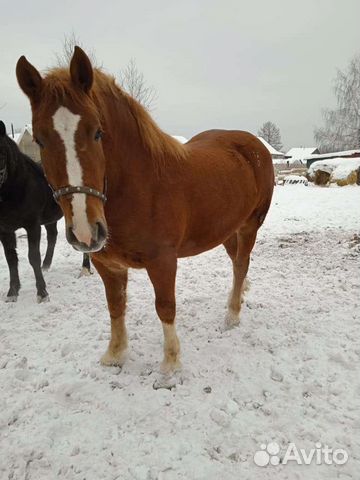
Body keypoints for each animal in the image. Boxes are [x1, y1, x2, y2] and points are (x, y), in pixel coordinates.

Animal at [0, 120, 90, 300]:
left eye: (1, 153)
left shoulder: (32, 225)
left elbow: (33, 257)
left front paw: (42, 292)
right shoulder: (5, 230)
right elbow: (11, 258)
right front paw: (13, 291)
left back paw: (85, 269)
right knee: (52, 236)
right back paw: (46, 265)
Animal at [16, 46, 274, 376]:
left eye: (97, 132)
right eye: (39, 139)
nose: (86, 232)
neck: (141, 184)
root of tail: (254, 145)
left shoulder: (163, 261)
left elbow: (165, 307)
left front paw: (170, 364)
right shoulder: (106, 264)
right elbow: (115, 306)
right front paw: (114, 354)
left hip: (250, 224)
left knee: (241, 263)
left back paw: (232, 315)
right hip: (227, 228)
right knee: (237, 263)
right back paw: (238, 296)